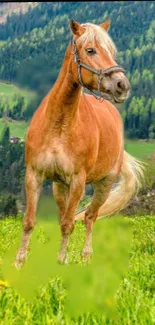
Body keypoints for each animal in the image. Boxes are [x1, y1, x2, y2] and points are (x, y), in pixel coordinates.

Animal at [15, 18, 144, 266]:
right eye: (90, 50)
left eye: (111, 51)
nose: (122, 85)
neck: (58, 127)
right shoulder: (34, 175)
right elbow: (29, 221)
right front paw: (20, 262)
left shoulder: (77, 181)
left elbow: (68, 224)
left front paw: (61, 261)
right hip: (59, 187)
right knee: (67, 213)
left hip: (104, 184)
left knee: (90, 217)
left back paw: (86, 256)